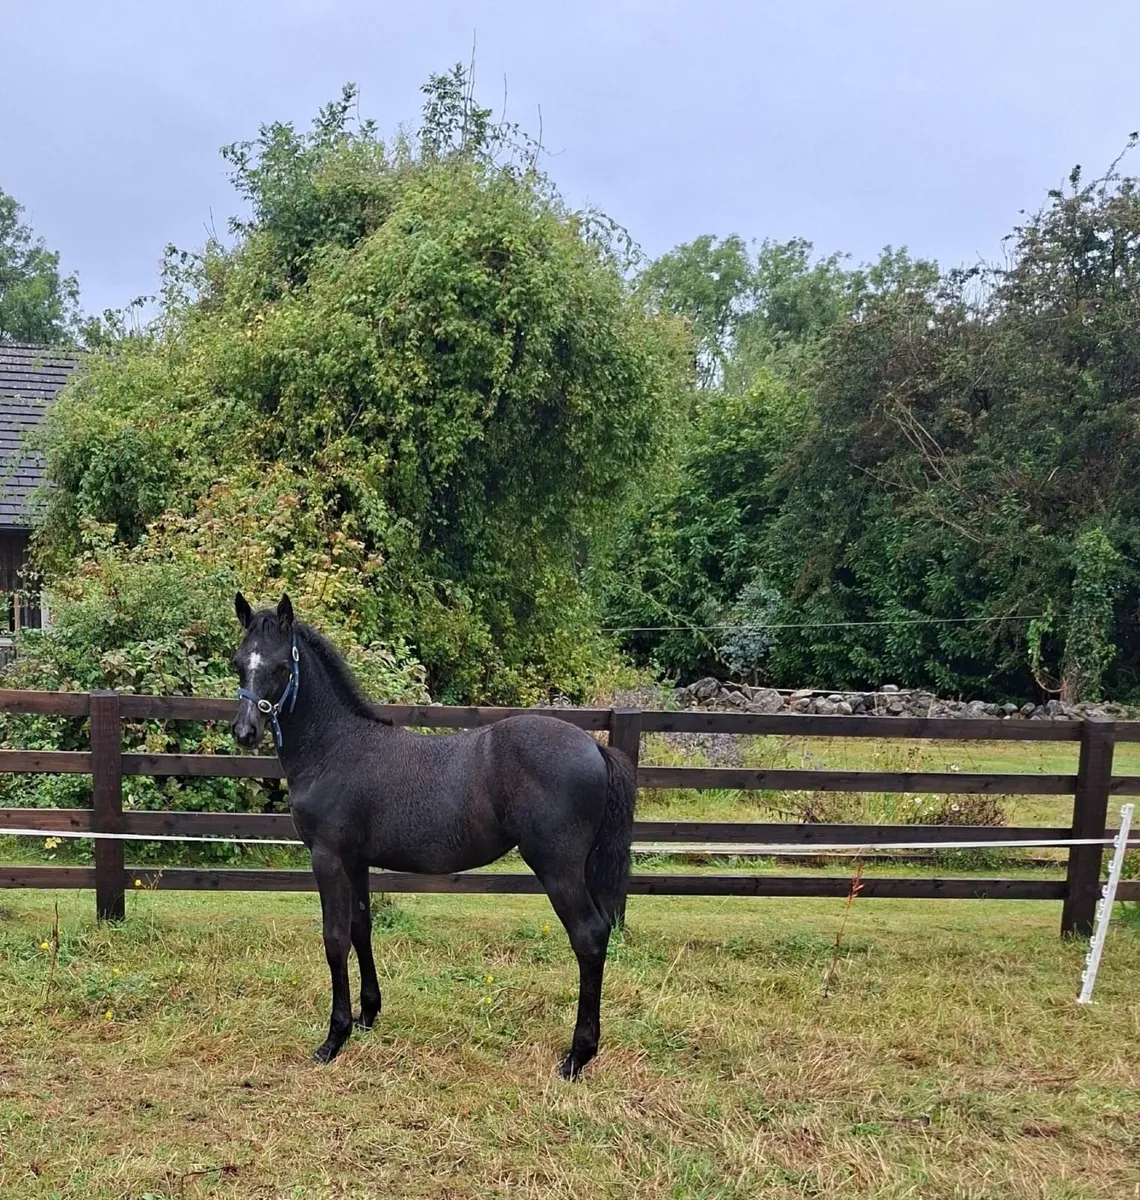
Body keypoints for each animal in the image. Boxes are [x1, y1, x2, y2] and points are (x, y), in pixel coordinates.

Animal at [230, 593, 636, 1079]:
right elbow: (361, 928)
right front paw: (368, 1015)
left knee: (589, 937)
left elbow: (334, 939)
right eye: (239, 662)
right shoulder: (355, 860)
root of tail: (595, 746)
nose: (245, 731)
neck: (335, 748)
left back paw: (577, 1056)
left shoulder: (327, 858)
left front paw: (334, 1038)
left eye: (279, 667)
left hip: (558, 868)